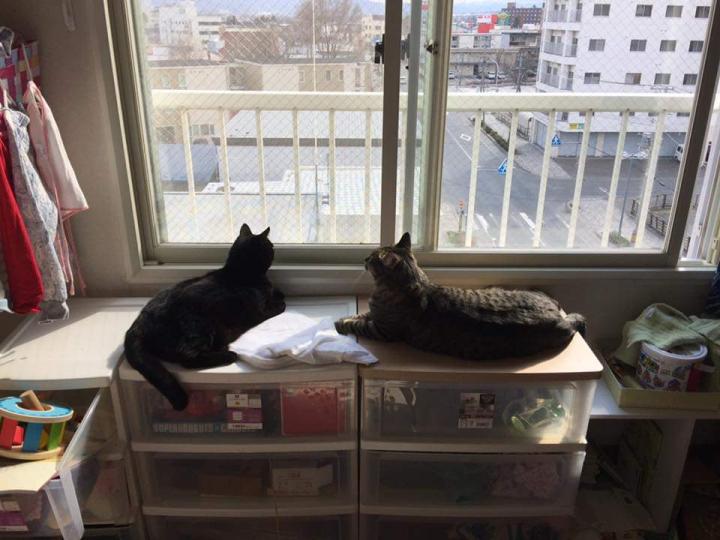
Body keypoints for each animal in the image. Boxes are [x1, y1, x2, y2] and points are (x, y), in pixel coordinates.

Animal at [124, 224, 286, 410]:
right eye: (271, 246)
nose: (274, 248)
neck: (238, 272)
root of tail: (136, 326)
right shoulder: (261, 310)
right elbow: (279, 304)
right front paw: (280, 297)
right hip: (200, 327)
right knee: (188, 357)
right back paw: (228, 354)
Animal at [335, 233, 585, 359]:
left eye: (372, 257)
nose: (364, 259)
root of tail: (554, 310)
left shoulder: (383, 329)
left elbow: (358, 323)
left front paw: (341, 322)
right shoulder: (375, 315)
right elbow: (362, 314)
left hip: (563, 328)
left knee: (576, 321)